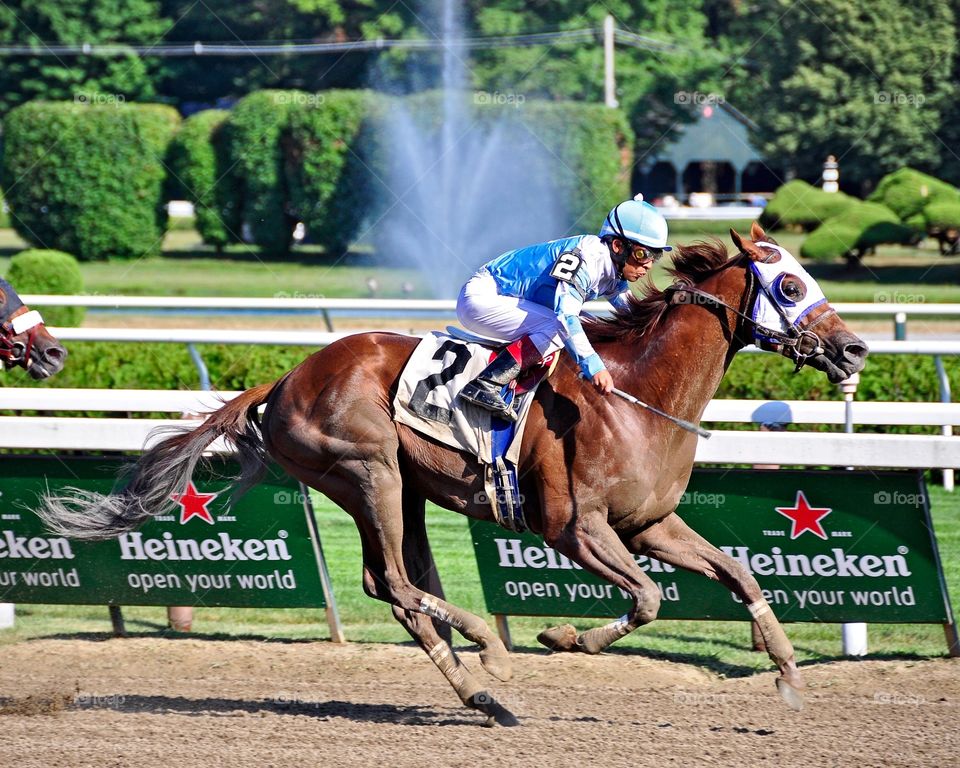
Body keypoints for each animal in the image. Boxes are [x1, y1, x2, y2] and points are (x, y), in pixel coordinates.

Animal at [39, 224, 872, 728]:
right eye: (790, 287)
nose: (856, 349)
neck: (638, 395)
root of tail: (282, 380)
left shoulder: (650, 524)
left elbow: (736, 573)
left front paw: (787, 671)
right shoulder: (576, 528)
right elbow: (647, 598)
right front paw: (563, 635)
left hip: (397, 486)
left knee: (400, 588)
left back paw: (479, 690)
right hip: (367, 471)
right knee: (394, 584)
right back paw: (486, 652)